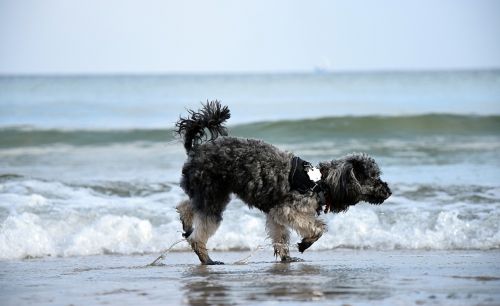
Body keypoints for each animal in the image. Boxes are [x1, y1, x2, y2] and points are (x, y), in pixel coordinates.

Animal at [175, 101, 390, 264]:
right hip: (213, 195)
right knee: (198, 234)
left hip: (210, 193)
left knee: (187, 205)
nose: (388, 191)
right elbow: (318, 228)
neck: (320, 183)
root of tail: (195, 150)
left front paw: (287, 258)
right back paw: (206, 258)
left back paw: (186, 223)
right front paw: (305, 243)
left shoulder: (276, 215)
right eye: (374, 177)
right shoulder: (288, 210)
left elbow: (281, 237)